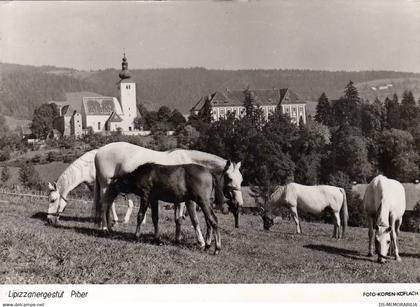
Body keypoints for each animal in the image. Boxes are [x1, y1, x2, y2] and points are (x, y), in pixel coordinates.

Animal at [92, 142, 243, 248]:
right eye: (230, 178)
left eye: (241, 179)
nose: (239, 203)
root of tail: (98, 152)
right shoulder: (186, 200)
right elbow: (190, 219)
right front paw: (198, 241)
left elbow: (178, 219)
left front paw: (178, 239)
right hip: (106, 186)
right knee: (104, 205)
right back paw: (104, 229)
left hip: (111, 190)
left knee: (108, 206)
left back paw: (109, 227)